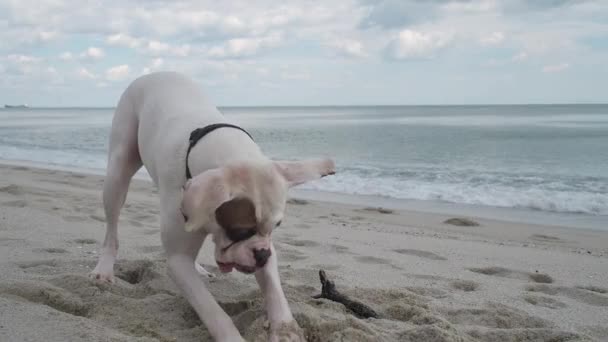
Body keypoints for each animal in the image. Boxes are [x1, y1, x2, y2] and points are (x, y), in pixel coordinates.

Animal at [89, 71, 334, 340]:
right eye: (239, 230)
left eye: (276, 227)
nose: (261, 254)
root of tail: (157, 73)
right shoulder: (178, 262)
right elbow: (212, 311)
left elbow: (275, 292)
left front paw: (285, 330)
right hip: (117, 174)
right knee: (112, 227)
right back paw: (104, 269)